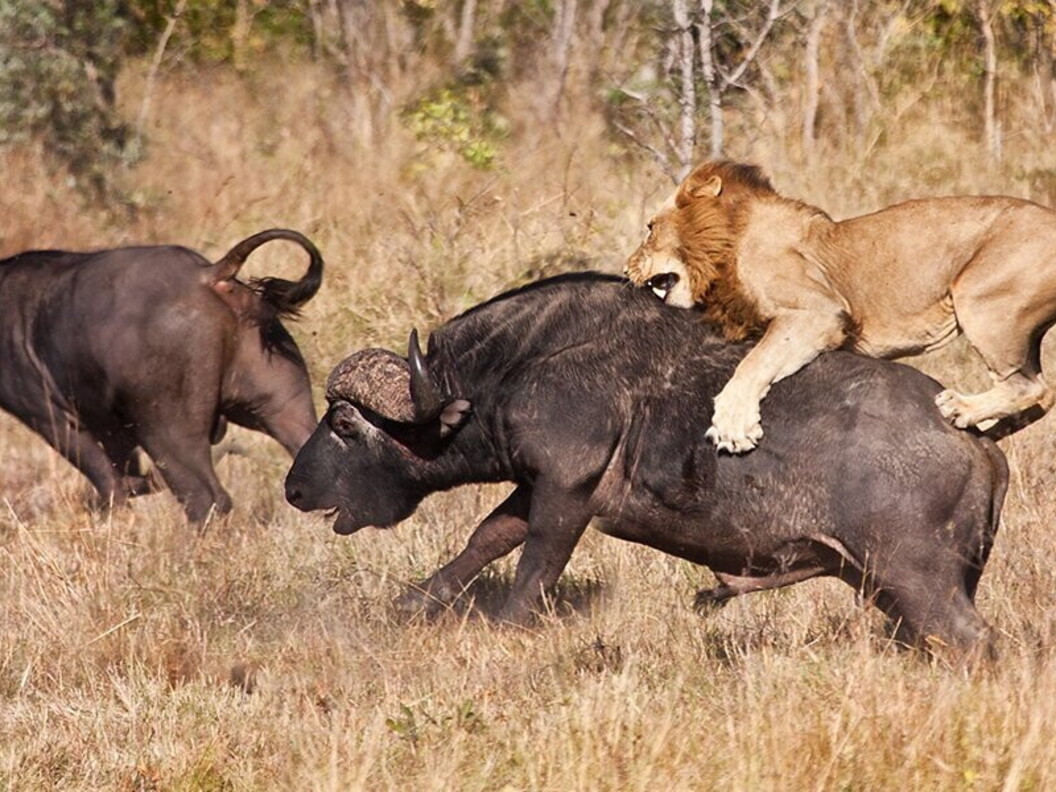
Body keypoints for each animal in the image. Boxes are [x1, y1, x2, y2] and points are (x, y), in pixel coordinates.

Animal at [625, 159, 1056, 453]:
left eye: (650, 228)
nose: (626, 267)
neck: (726, 244)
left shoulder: (819, 311)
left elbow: (755, 362)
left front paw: (733, 424)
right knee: (1044, 395)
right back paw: (987, 429)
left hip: (982, 301)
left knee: (1030, 386)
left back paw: (961, 409)